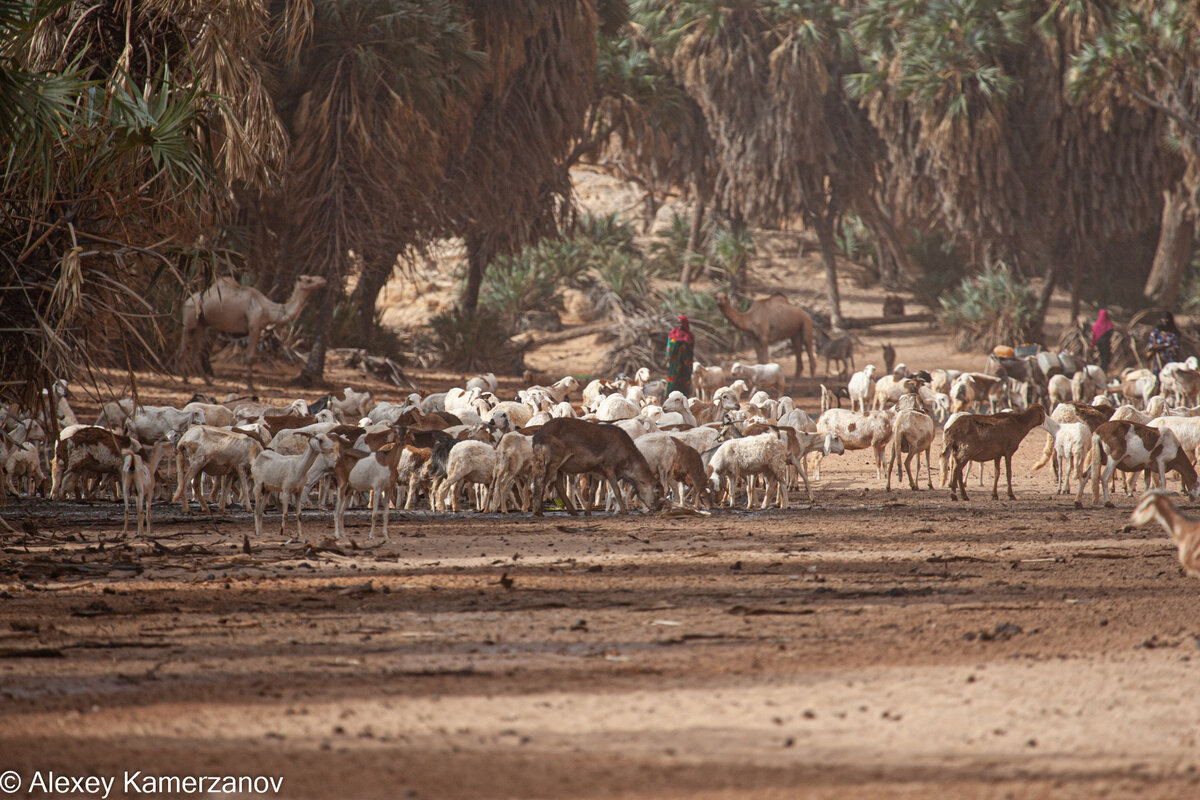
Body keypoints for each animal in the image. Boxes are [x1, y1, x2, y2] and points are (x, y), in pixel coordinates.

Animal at [175, 273, 326, 388]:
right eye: (308, 280)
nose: (322, 280)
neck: (269, 309)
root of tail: (187, 300)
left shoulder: (259, 328)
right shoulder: (254, 327)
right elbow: (250, 357)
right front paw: (250, 387)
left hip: (202, 323)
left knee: (195, 351)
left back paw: (207, 382)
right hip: (190, 317)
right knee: (183, 346)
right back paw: (185, 380)